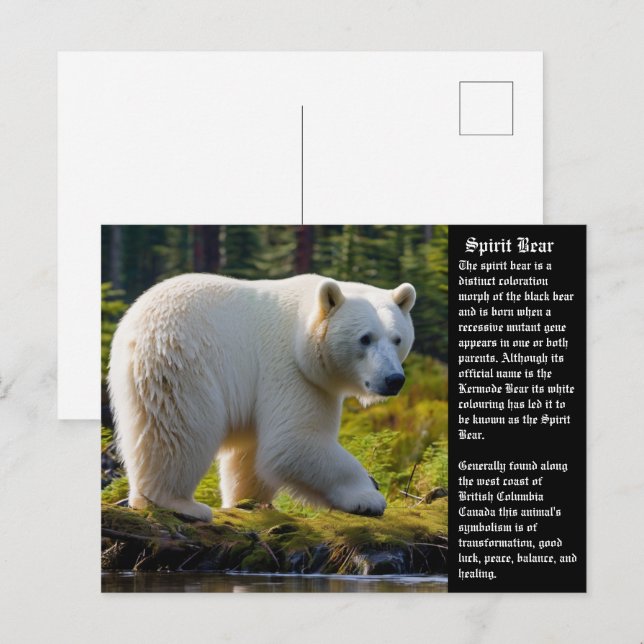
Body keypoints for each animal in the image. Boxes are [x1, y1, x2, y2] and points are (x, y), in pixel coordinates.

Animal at [108, 273, 416, 522]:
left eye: (397, 339)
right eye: (365, 338)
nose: (393, 379)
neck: (303, 328)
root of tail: (132, 324)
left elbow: (252, 452)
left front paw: (250, 501)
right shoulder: (291, 370)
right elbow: (294, 441)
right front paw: (368, 496)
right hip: (184, 361)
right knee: (179, 430)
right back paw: (178, 503)